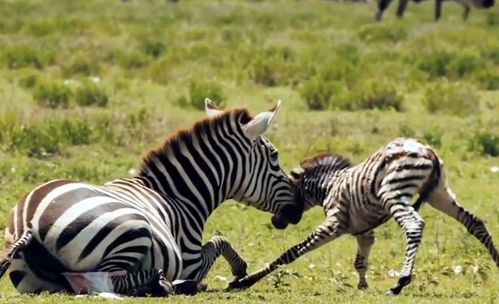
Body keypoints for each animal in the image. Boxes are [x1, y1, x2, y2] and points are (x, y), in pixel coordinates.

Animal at [0, 100, 302, 296]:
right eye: (275, 156)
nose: (297, 209)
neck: (179, 195)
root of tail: (29, 223)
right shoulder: (191, 259)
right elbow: (219, 240)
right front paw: (240, 270)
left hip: (35, 281)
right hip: (133, 229)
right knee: (97, 281)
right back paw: (161, 283)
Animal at [229, 138, 499, 294]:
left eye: (287, 192)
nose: (276, 222)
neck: (328, 185)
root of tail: (427, 150)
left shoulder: (334, 223)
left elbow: (291, 252)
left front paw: (244, 282)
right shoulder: (364, 231)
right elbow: (360, 260)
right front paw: (362, 286)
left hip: (394, 192)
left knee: (414, 226)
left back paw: (401, 282)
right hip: (439, 193)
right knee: (474, 221)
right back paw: (497, 260)